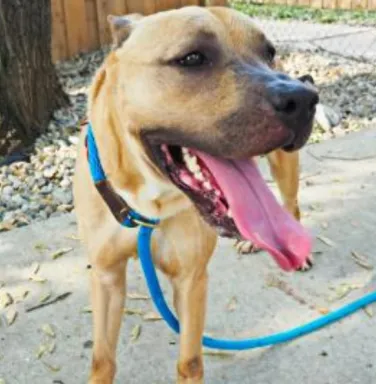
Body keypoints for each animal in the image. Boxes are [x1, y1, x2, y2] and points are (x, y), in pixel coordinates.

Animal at [73, 6, 318, 384]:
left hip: (284, 165)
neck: (148, 203)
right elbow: (102, 359)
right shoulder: (106, 276)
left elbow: (189, 361)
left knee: (290, 205)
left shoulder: (191, 280)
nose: (303, 99)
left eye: (268, 52)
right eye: (192, 58)